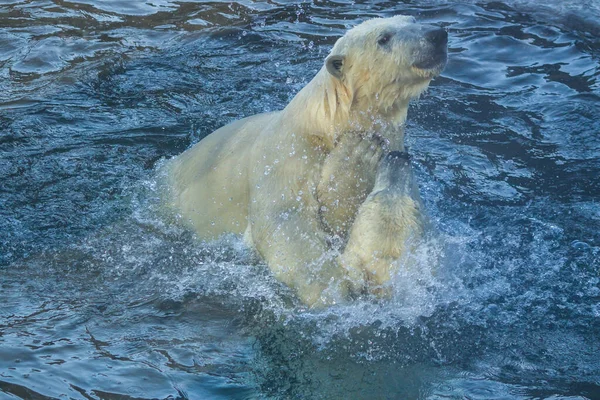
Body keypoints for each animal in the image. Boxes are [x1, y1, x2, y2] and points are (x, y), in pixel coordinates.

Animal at [166, 15, 448, 306]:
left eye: (411, 19)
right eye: (384, 38)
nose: (437, 34)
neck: (328, 124)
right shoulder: (287, 154)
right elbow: (287, 221)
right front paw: (331, 289)